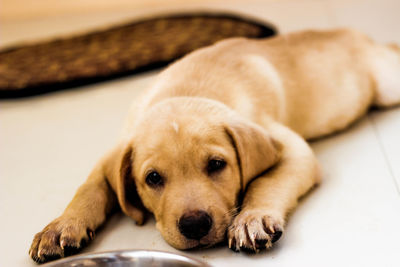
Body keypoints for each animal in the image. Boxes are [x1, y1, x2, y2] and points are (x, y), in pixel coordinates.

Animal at [29, 28, 400, 262]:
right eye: (152, 178)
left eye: (217, 165)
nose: (195, 226)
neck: (187, 90)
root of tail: (360, 36)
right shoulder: (111, 154)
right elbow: (89, 188)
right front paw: (61, 226)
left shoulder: (293, 148)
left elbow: (267, 180)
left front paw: (252, 218)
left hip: (387, 86)